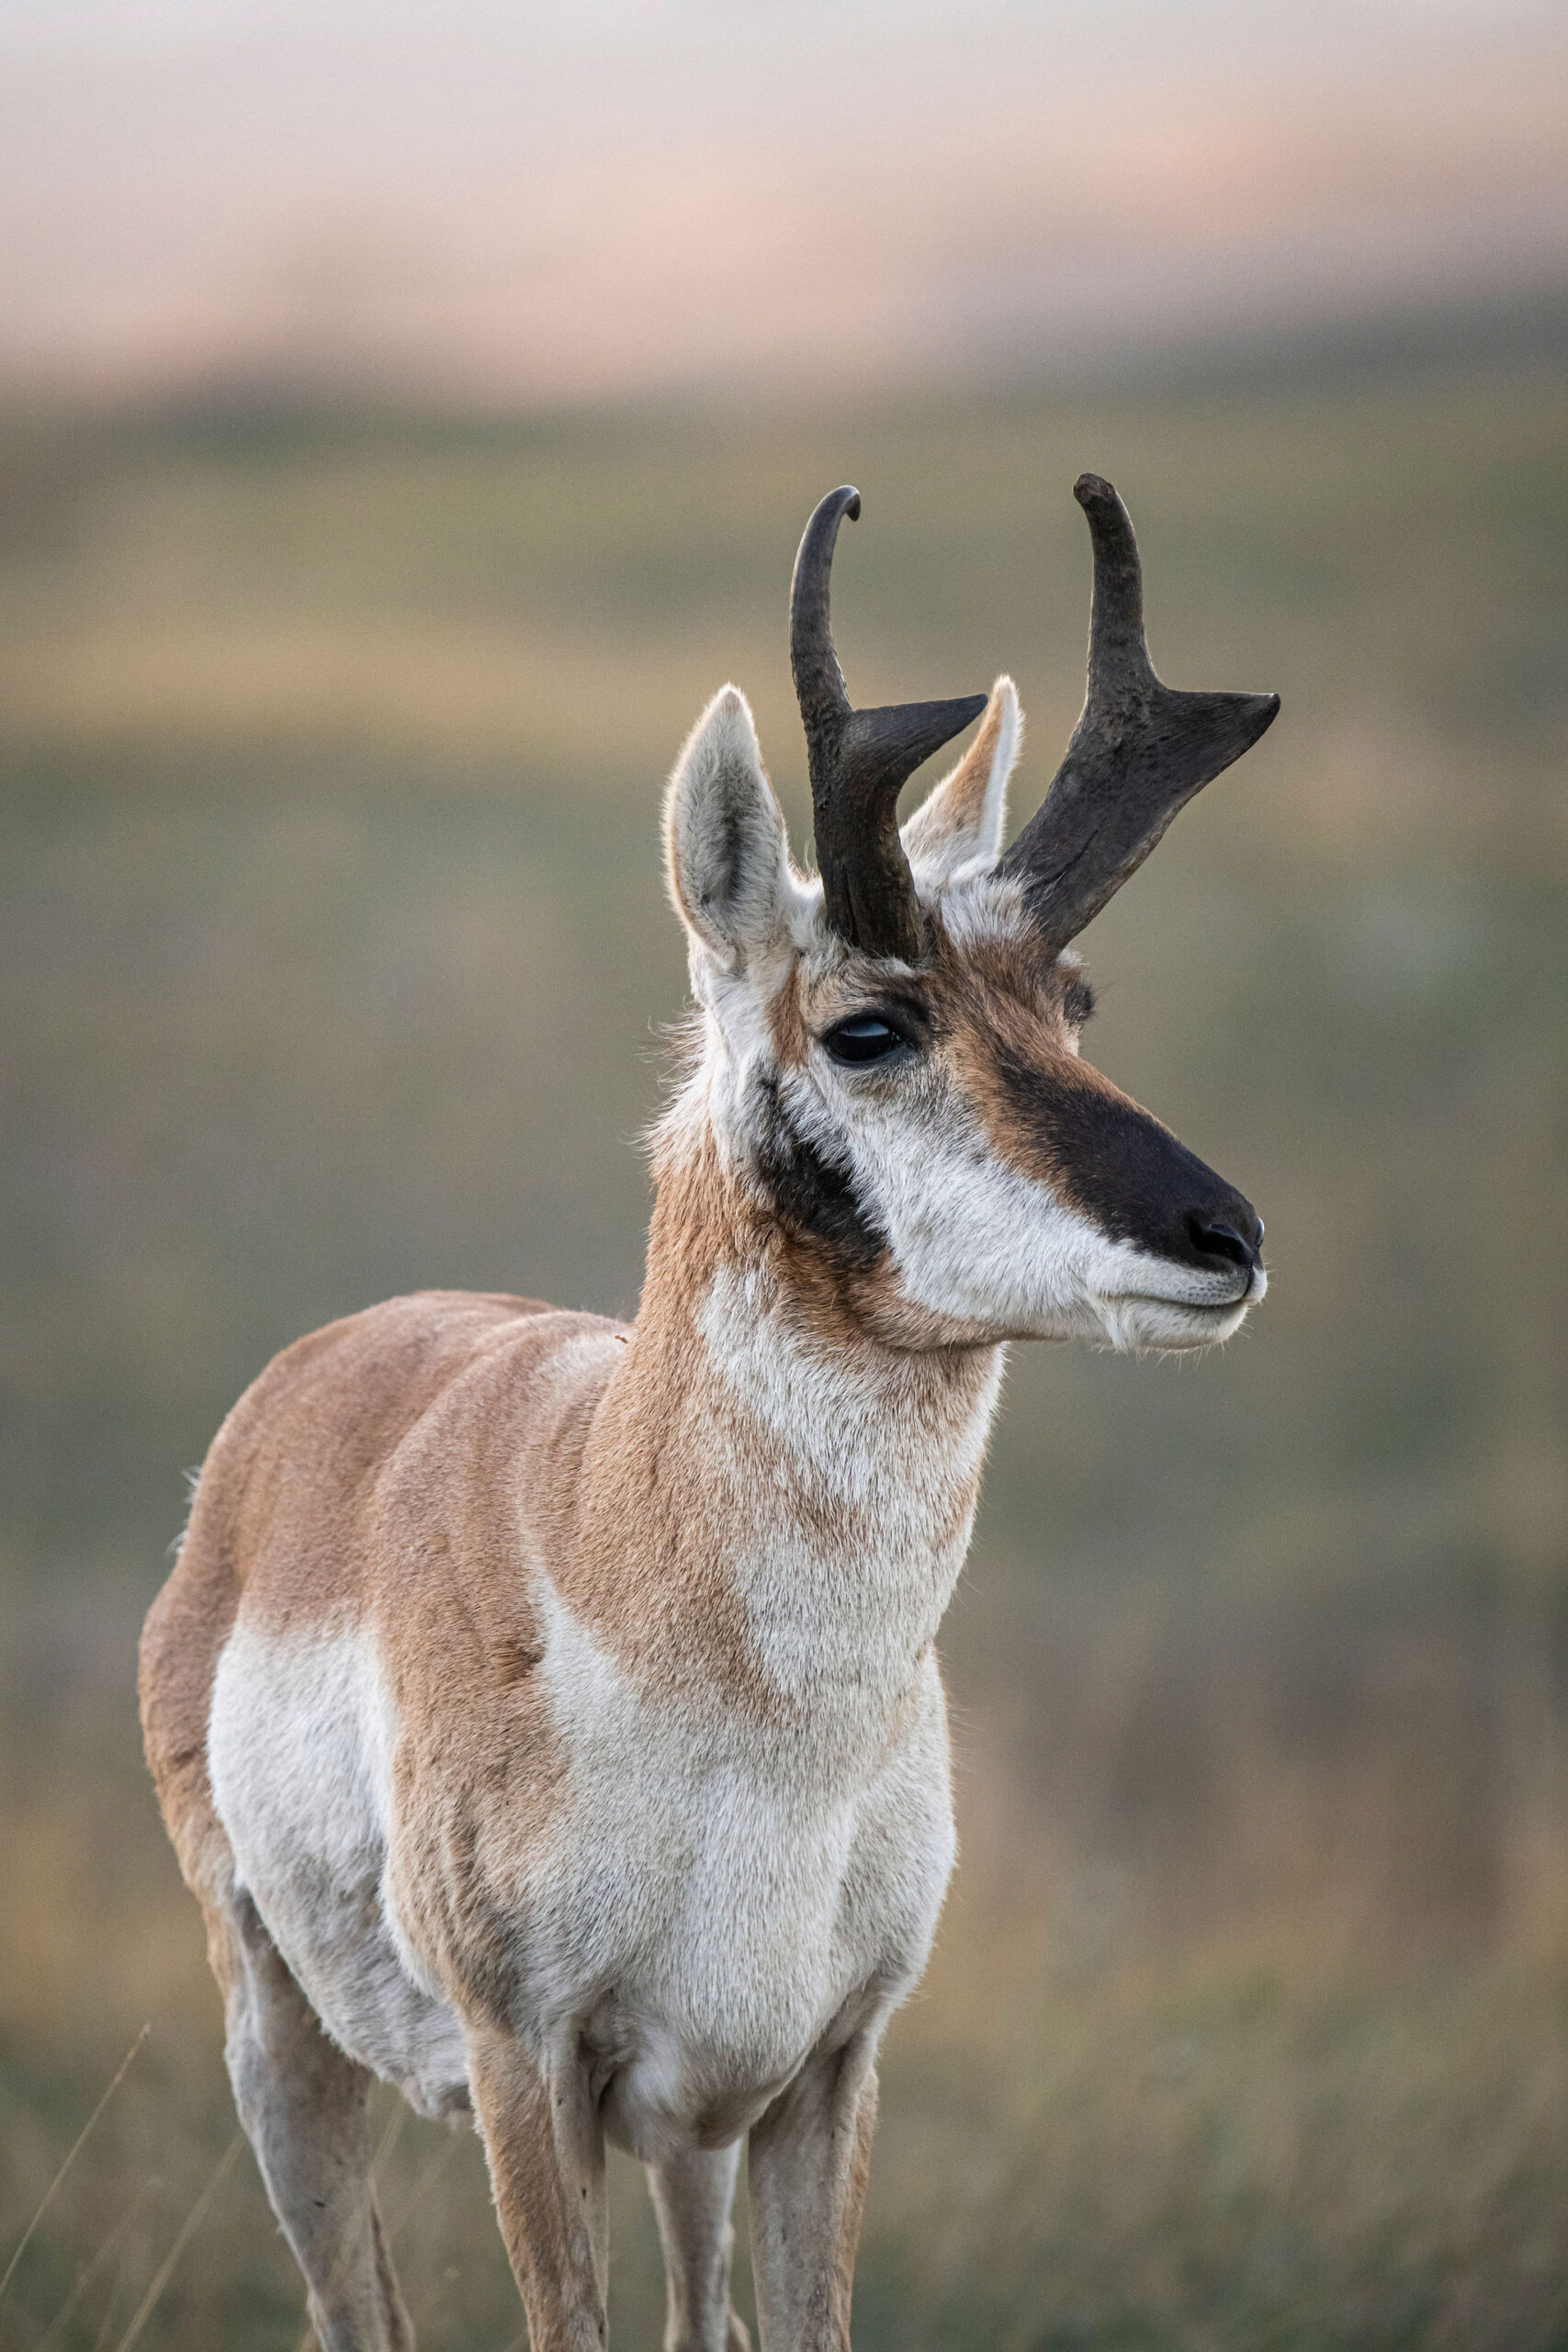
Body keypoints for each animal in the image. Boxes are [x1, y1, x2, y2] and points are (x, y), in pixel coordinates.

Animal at [141, 477, 1279, 2352]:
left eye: (1074, 1001)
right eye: (867, 1024)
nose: (1226, 1237)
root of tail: (329, 1369)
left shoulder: (822, 2070)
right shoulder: (530, 2073)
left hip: (689, 2143)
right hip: (283, 2044)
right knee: (347, 2303)